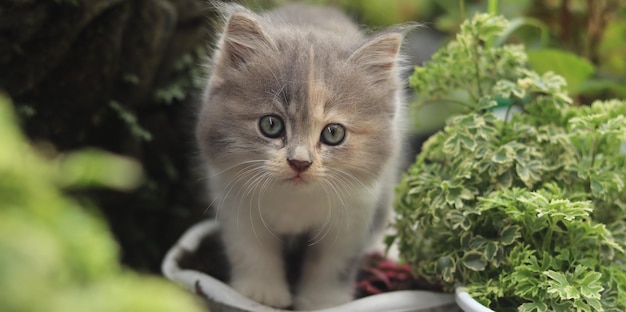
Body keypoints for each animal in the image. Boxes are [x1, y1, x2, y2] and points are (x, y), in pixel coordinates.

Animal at [195, 2, 410, 310]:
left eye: (333, 133)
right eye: (271, 125)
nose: (300, 162)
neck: (294, 202)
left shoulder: (352, 217)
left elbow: (332, 266)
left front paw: (322, 301)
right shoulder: (236, 203)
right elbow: (252, 252)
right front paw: (260, 294)